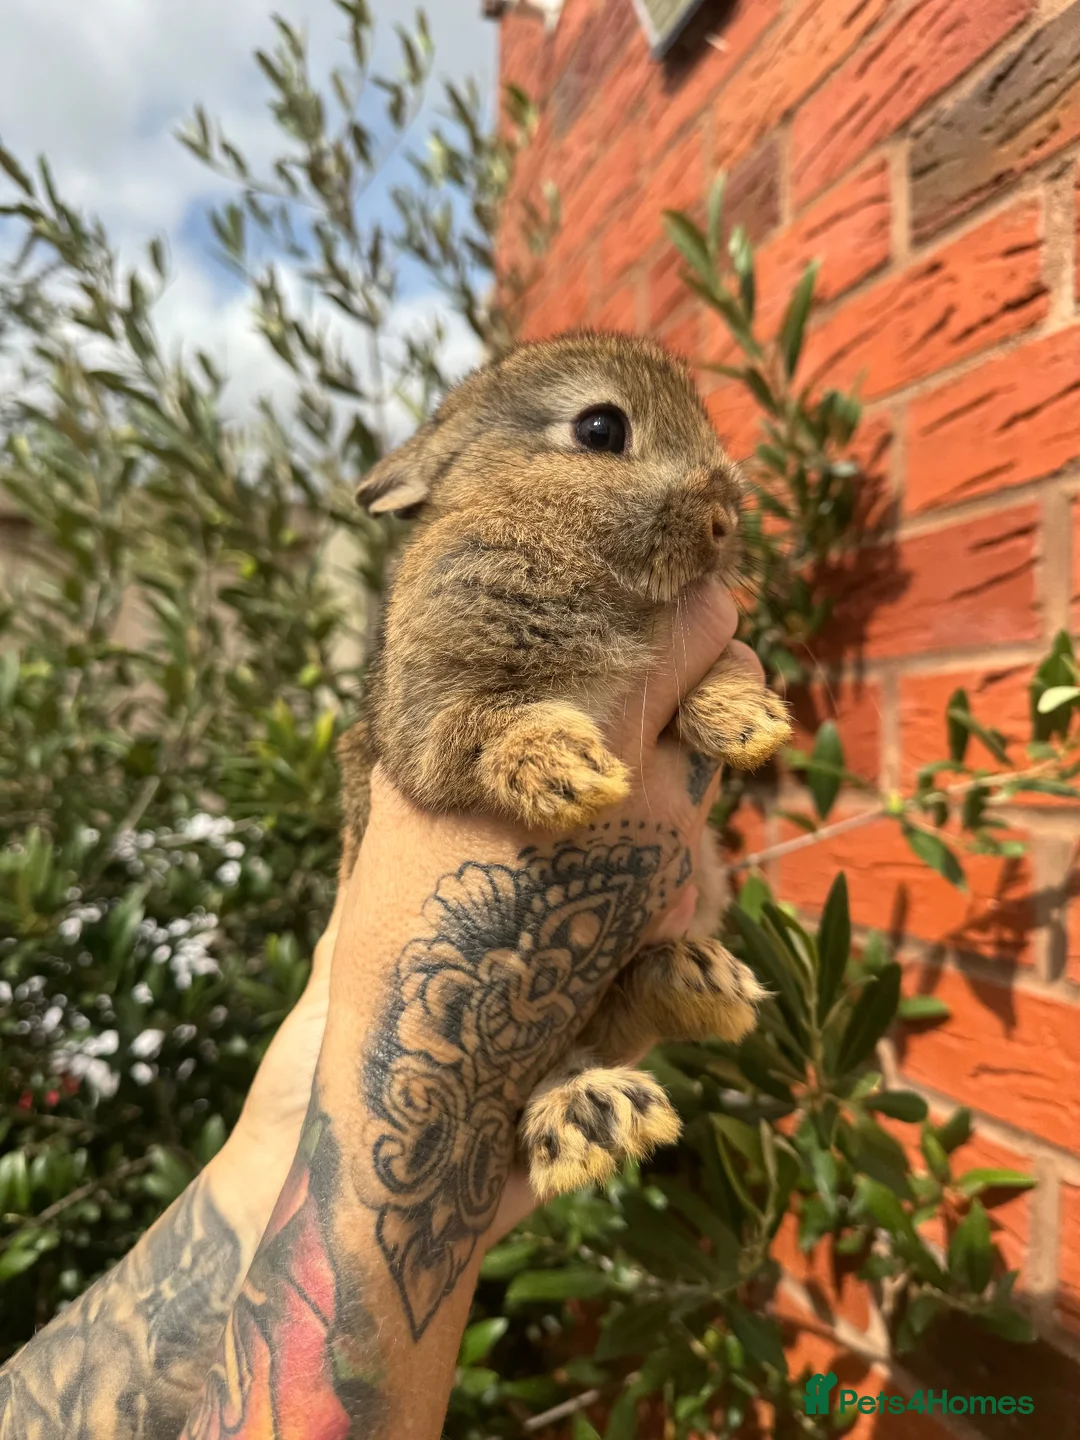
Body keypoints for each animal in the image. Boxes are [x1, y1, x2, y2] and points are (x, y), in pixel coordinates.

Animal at [337, 331, 789, 1199]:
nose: (725, 521)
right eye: (600, 429)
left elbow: (718, 676)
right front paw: (568, 774)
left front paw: (749, 722)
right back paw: (589, 1117)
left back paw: (697, 989)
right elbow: (486, 725)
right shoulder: (428, 721)